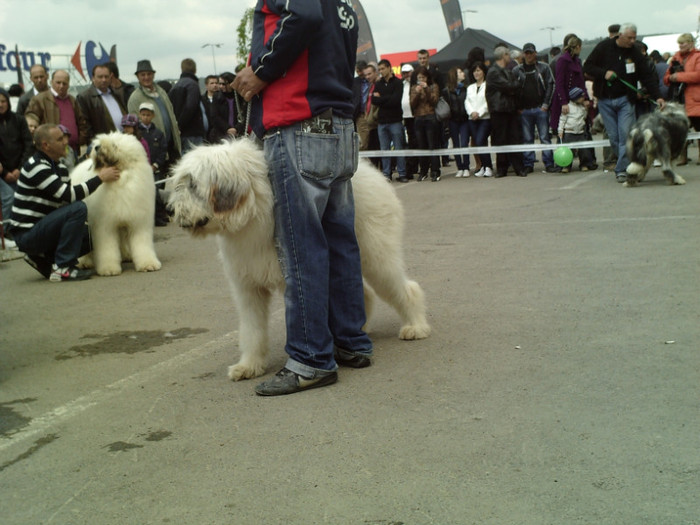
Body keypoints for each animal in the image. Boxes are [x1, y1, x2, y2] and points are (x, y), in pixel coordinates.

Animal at [72, 132, 163, 274]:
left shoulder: (139, 222)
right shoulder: (105, 225)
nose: (96, 147)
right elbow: (107, 247)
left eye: (115, 145)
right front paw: (109, 269)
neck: (120, 180)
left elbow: (142, 244)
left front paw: (148, 264)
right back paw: (84, 263)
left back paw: (126, 256)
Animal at [170, 137, 432, 378]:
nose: (172, 212)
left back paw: (416, 327)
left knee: (406, 288)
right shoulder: (247, 285)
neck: (253, 210)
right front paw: (249, 365)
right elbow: (252, 329)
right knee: (362, 292)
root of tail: (376, 175)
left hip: (377, 256)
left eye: (193, 184)